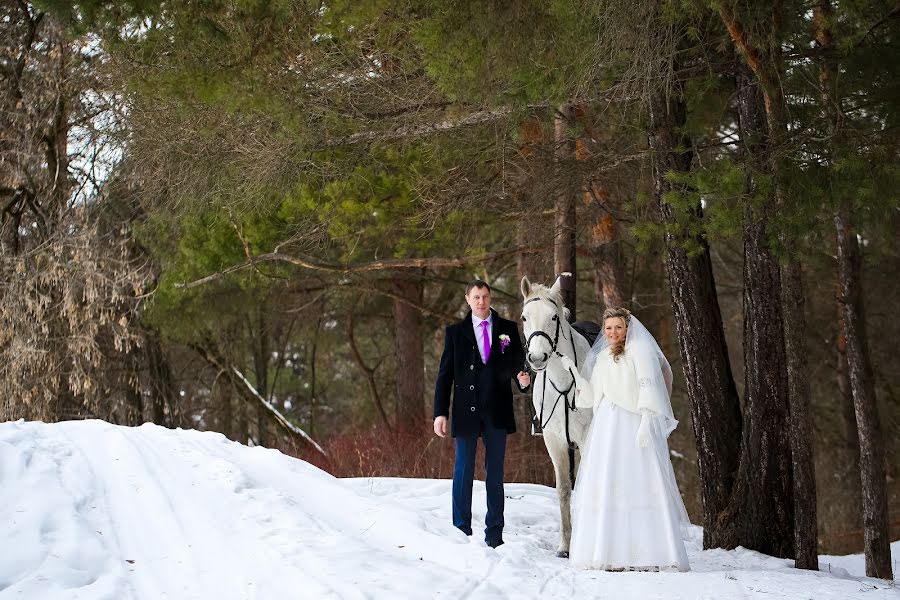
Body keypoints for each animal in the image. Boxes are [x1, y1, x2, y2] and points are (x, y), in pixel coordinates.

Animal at [516, 276, 596, 556]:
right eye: (524, 317)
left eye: (553, 317)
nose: (537, 358)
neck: (564, 380)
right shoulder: (555, 441)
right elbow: (563, 490)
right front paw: (565, 546)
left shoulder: (587, 438)